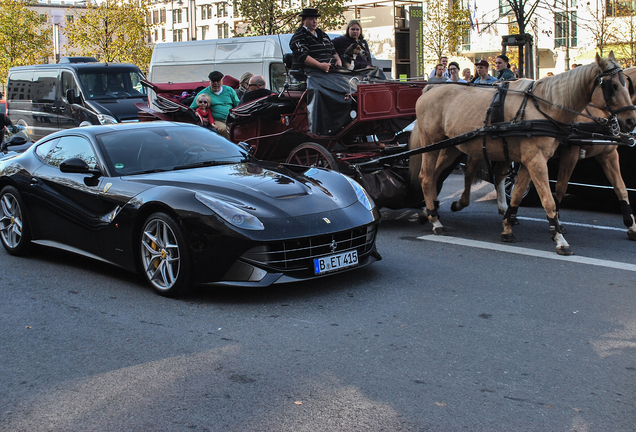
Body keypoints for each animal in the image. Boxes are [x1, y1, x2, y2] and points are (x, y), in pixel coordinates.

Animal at [410, 54, 632, 256]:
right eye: (612, 86)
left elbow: (518, 193)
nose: (630, 120)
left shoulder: (530, 161)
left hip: (452, 147)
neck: (544, 107)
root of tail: (430, 89)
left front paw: (508, 227)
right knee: (427, 177)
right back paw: (435, 221)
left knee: (437, 176)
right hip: (432, 144)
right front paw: (559, 239)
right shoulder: (539, 160)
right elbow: (549, 199)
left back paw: (431, 210)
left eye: (627, 83)